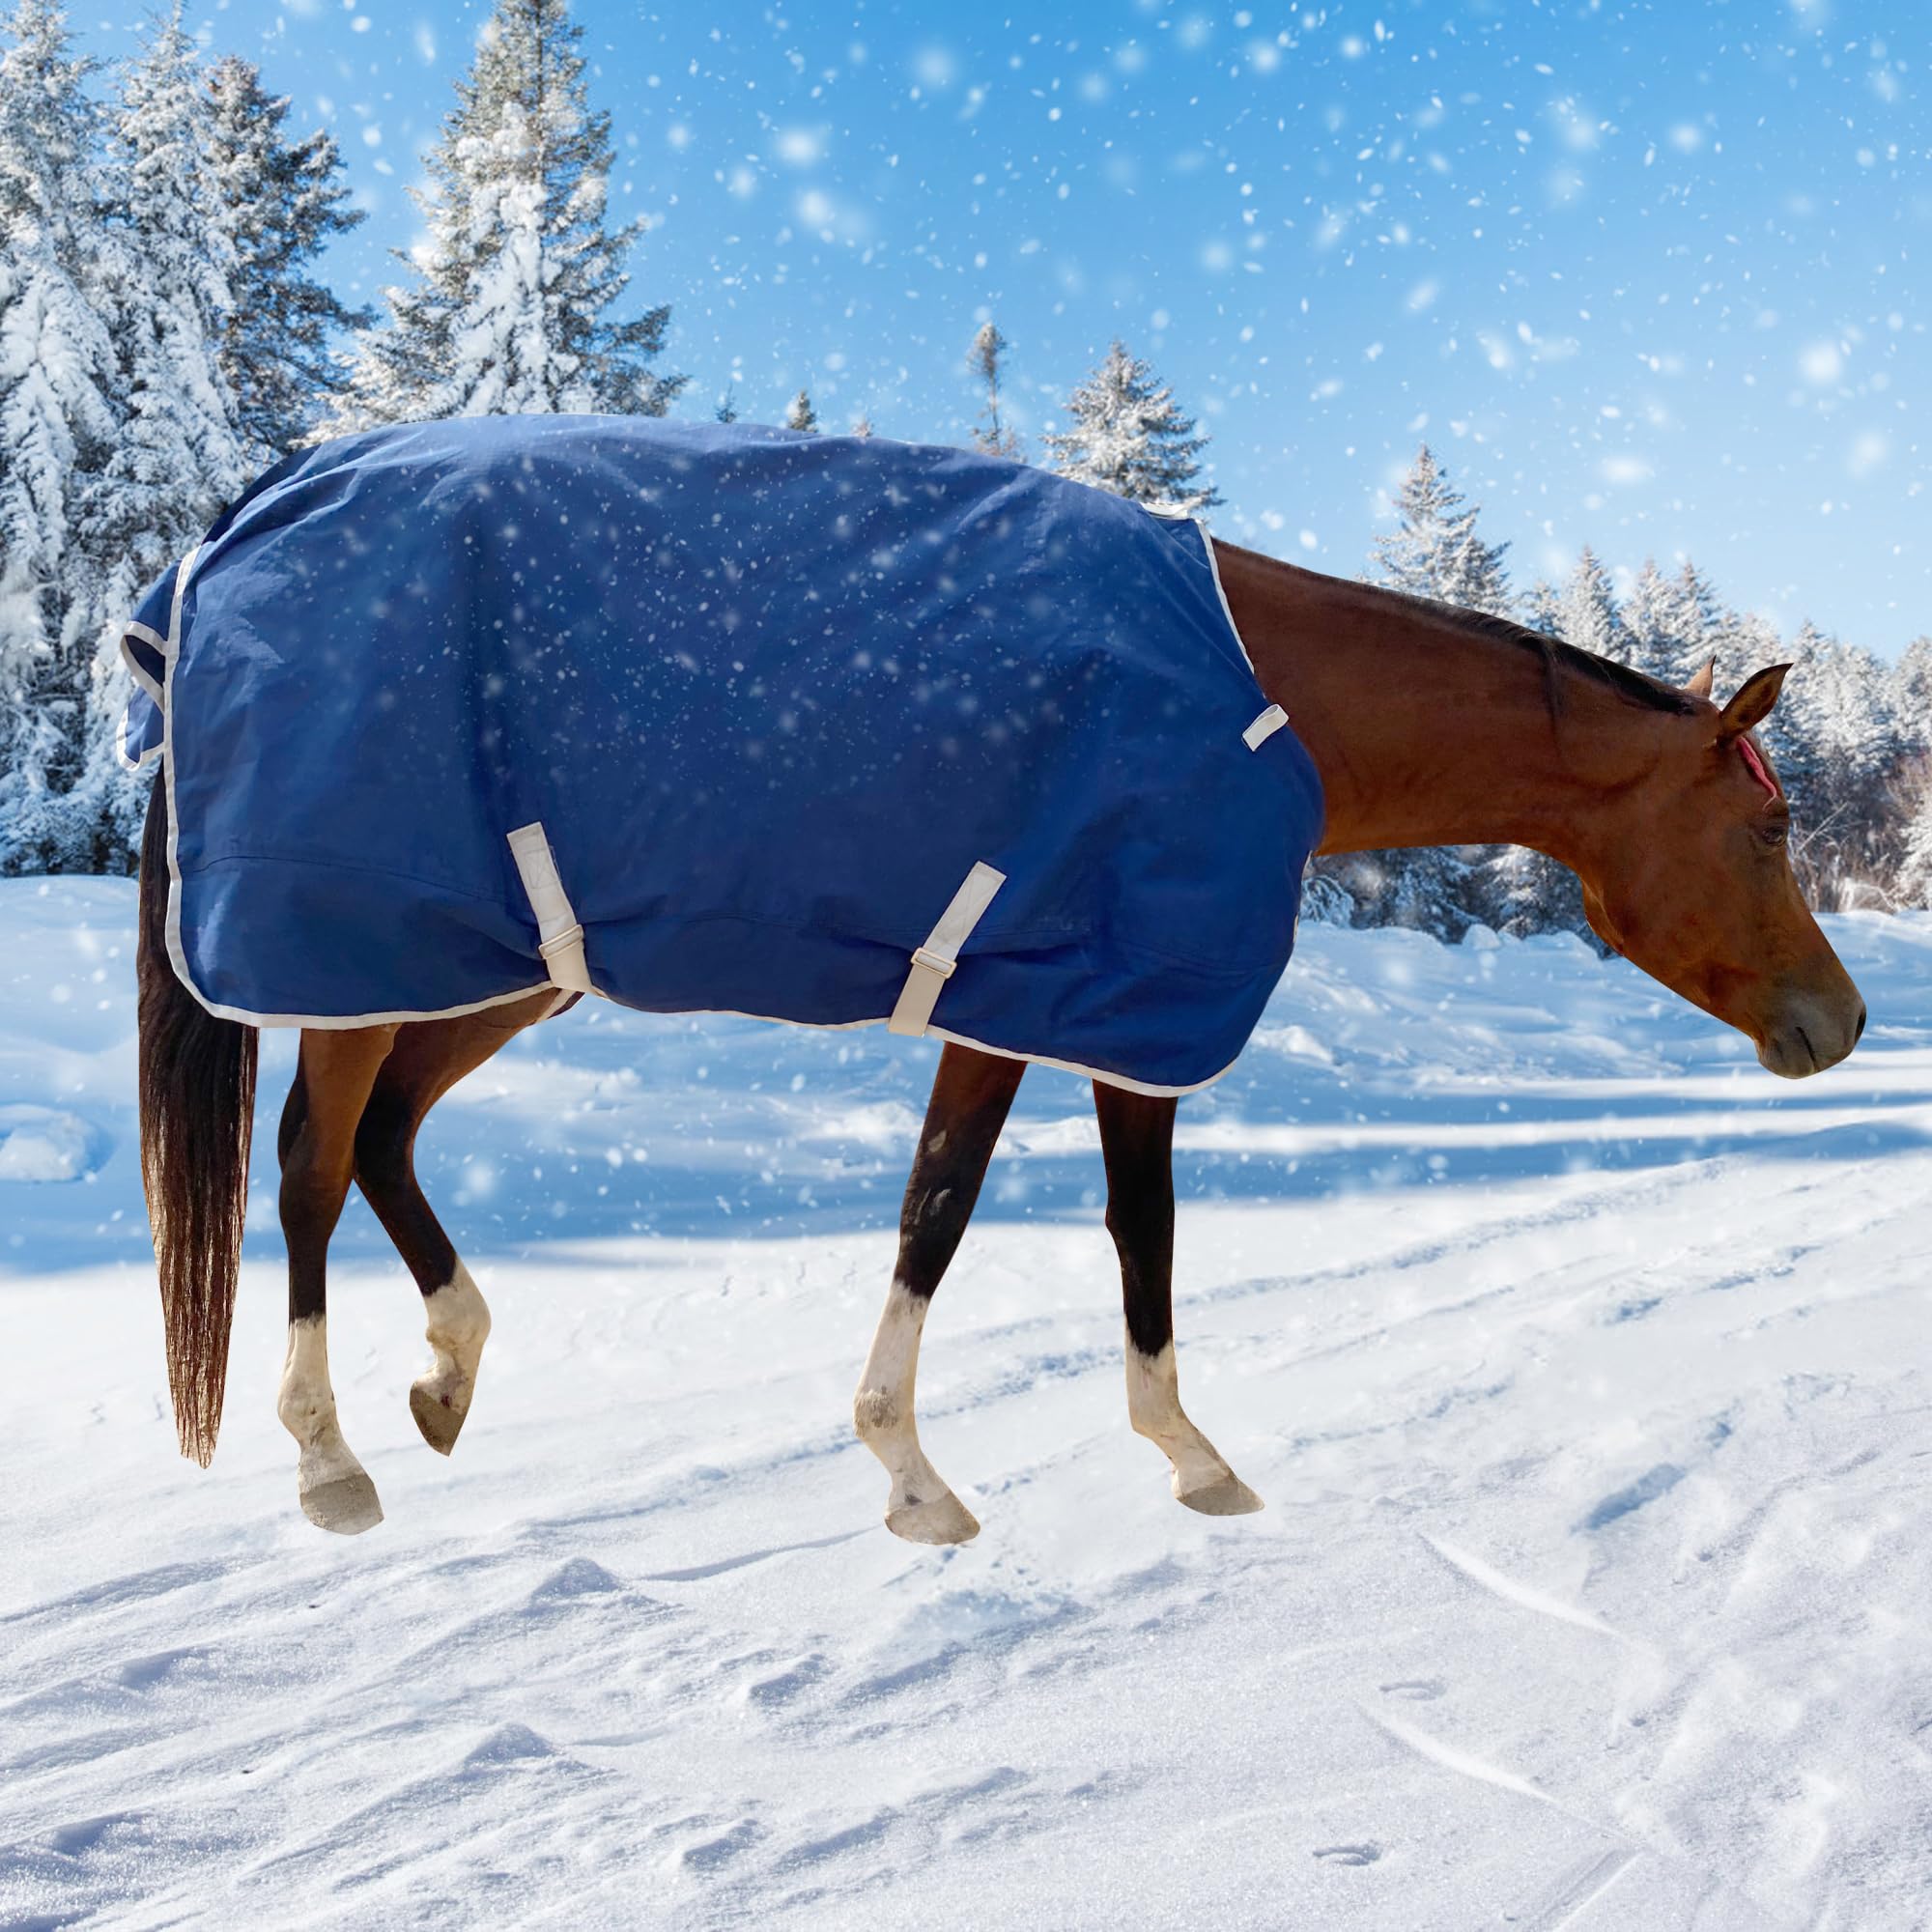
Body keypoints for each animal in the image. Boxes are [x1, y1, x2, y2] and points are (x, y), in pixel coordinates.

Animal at [132, 467, 1866, 1545]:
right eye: (1768, 830)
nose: (1843, 1024)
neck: (1259, 694)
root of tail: (242, 526)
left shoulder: (1047, 1006)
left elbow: (984, 1217)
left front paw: (957, 1466)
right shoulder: (1100, 1011)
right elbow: (1055, 1226)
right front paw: (1091, 1465)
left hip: (495, 965)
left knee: (386, 1141)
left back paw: (446, 1374)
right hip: (358, 955)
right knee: (309, 1164)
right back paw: (328, 1457)